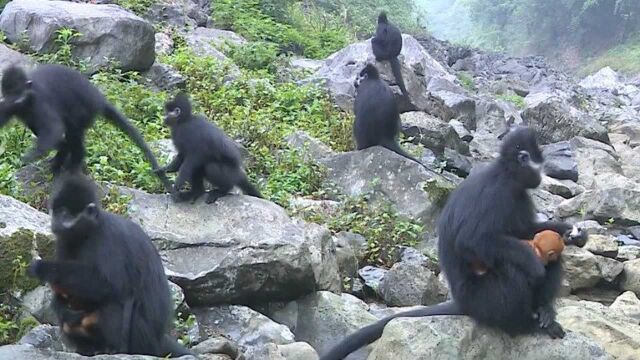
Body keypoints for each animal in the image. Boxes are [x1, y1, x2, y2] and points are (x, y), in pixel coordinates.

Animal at [0, 65, 172, 191]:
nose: (12, 99)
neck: (26, 102)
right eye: (8, 92)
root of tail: (98, 98)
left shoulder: (40, 102)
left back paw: (71, 163)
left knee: (73, 132)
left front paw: (27, 157)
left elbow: (53, 129)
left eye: (17, 92)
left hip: (84, 111)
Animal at [27, 172, 191, 358]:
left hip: (141, 336)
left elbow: (108, 284)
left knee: (112, 304)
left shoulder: (109, 238)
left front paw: (42, 268)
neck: (88, 232)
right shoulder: (63, 240)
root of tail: (158, 340)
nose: (60, 221)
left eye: (68, 213)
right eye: (60, 212)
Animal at [320, 125, 592, 358]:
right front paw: (532, 260)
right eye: (539, 167)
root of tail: (463, 302)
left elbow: (525, 231)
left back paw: (544, 311)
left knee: (553, 258)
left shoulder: (518, 196)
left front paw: (571, 232)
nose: (541, 177)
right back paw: (524, 324)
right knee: (514, 269)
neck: (507, 176)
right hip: (484, 298)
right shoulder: (495, 193)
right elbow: (472, 241)